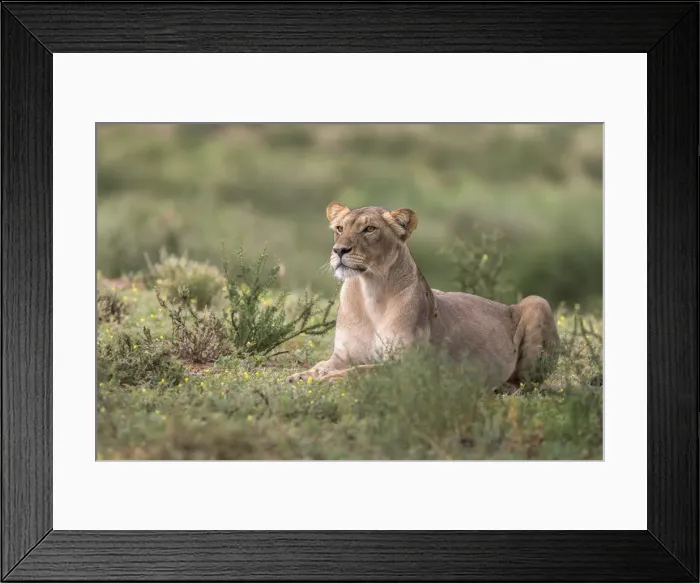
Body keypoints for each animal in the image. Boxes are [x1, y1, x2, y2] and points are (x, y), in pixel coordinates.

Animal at [286, 202, 561, 391]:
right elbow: (324, 365)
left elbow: (362, 371)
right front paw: (303, 375)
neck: (369, 292)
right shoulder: (343, 356)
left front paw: (329, 379)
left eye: (370, 229)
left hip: (537, 302)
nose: (339, 250)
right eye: (339, 228)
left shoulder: (410, 366)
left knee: (523, 382)